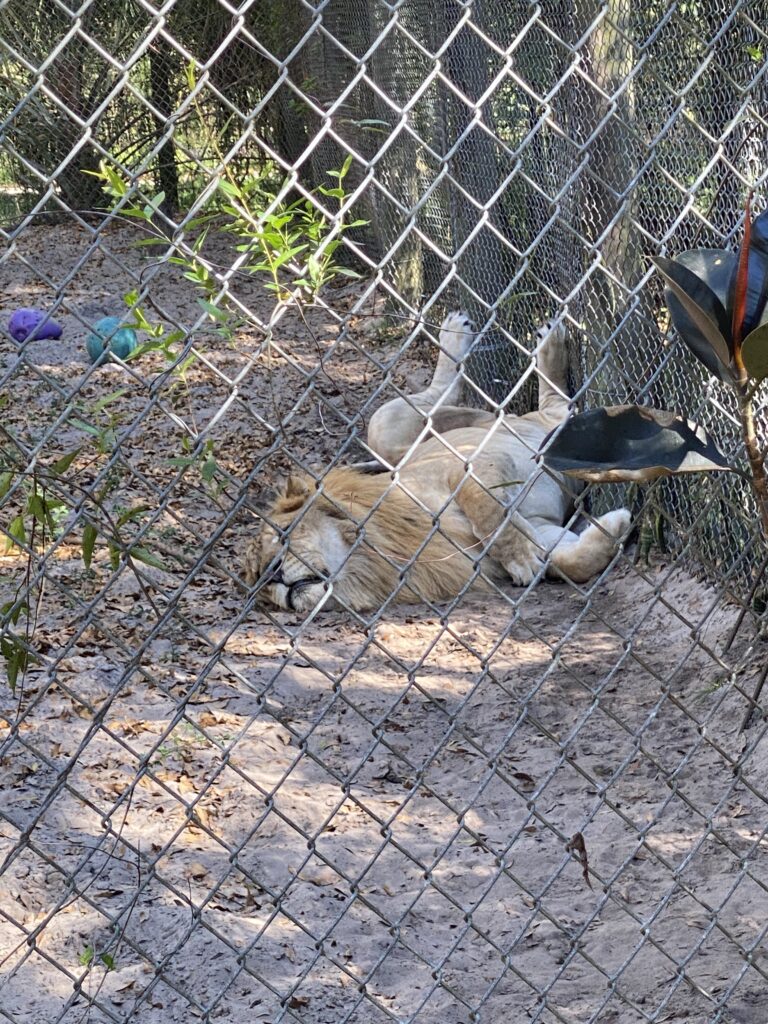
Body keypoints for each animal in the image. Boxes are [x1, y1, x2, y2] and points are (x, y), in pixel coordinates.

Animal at [246, 311, 630, 610]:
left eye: (280, 535)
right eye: (260, 583)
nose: (272, 576)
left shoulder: (476, 462)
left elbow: (490, 513)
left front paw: (521, 559)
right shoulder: (541, 527)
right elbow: (568, 562)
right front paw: (615, 527)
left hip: (387, 423)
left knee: (542, 402)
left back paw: (507, 338)